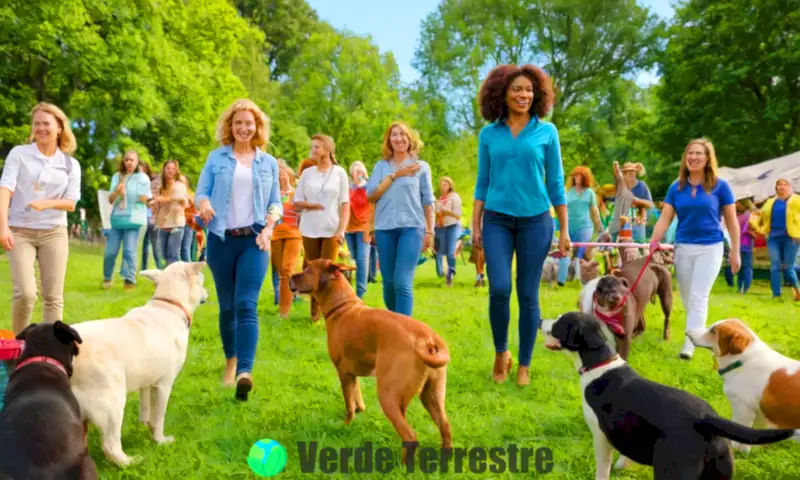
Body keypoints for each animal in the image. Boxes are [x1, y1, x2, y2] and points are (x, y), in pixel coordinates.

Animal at [70, 260, 209, 466]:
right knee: (111, 446)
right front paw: (159, 440)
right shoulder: (164, 385)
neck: (167, 304)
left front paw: (146, 426)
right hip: (112, 403)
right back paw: (129, 462)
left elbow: (145, 409)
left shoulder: (147, 383)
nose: (208, 292)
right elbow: (159, 416)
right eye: (202, 281)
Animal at [290, 258, 454, 464]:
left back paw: (402, 465)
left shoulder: (343, 373)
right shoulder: (353, 373)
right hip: (432, 395)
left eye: (308, 270)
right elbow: (357, 395)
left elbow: (349, 404)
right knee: (445, 427)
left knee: (410, 436)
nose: (290, 276)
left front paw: (347, 424)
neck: (343, 306)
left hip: (388, 396)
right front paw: (360, 409)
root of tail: (427, 337)